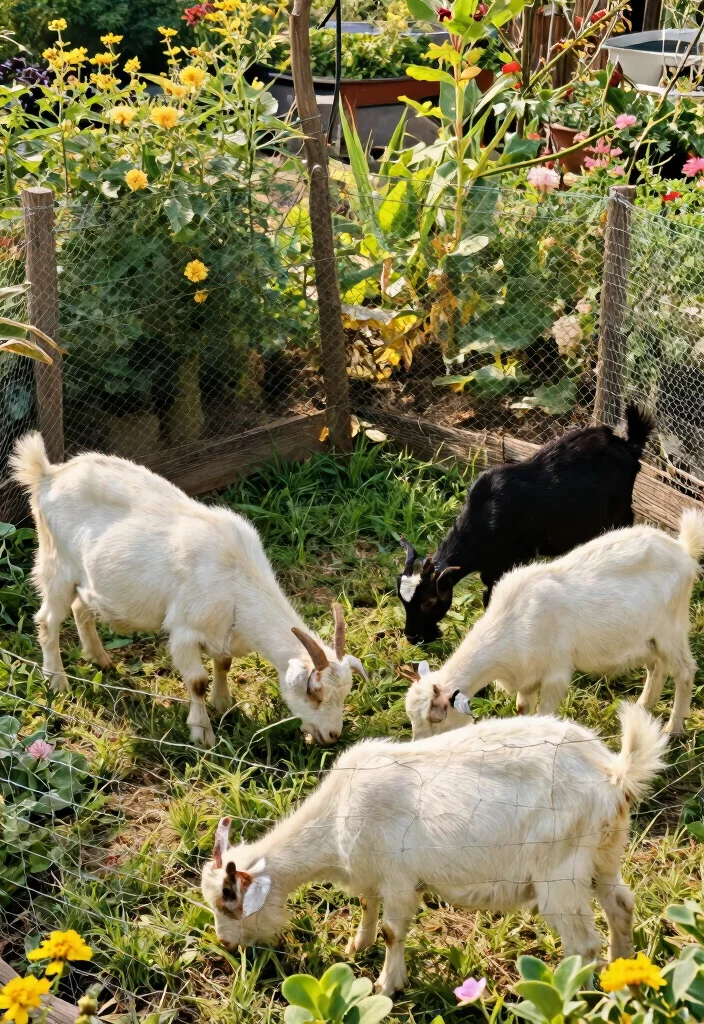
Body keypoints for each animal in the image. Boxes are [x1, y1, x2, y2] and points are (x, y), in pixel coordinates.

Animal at [11, 432, 367, 748]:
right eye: (313, 693)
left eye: (345, 692)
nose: (332, 735)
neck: (237, 577)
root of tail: (47, 474)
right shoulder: (183, 630)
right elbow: (196, 682)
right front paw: (202, 734)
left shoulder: (223, 629)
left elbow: (224, 664)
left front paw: (224, 704)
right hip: (55, 563)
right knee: (48, 619)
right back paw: (57, 681)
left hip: (87, 577)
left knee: (80, 607)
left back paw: (99, 658)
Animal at [202, 704, 666, 997]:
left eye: (230, 903)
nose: (225, 945)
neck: (337, 816)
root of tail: (613, 774)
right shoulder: (373, 876)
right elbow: (367, 906)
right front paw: (356, 946)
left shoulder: (399, 879)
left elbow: (393, 932)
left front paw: (387, 984)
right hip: (604, 854)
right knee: (621, 903)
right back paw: (622, 971)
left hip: (560, 873)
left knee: (582, 945)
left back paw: (578, 996)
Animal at [397, 404, 654, 643]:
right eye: (403, 601)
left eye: (430, 602)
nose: (413, 637)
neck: (485, 516)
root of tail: (627, 445)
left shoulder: (513, 559)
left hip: (620, 512)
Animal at [405, 511, 704, 739]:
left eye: (436, 718)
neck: (511, 622)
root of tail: (683, 550)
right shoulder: (526, 675)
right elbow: (523, 710)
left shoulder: (555, 674)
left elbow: (544, 713)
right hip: (642, 638)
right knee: (656, 665)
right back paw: (642, 707)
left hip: (672, 627)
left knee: (685, 671)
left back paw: (672, 729)